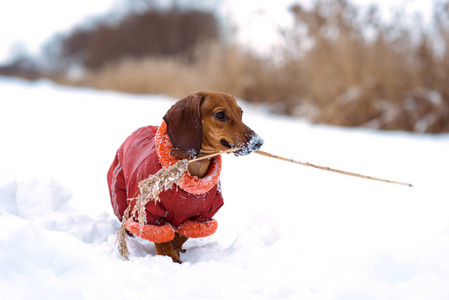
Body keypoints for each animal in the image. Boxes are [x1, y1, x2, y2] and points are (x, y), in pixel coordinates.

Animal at [107, 90, 262, 262]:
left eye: (241, 113)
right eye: (220, 114)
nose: (258, 142)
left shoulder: (203, 217)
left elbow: (183, 234)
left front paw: (176, 246)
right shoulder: (149, 214)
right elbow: (161, 239)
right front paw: (169, 257)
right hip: (121, 197)